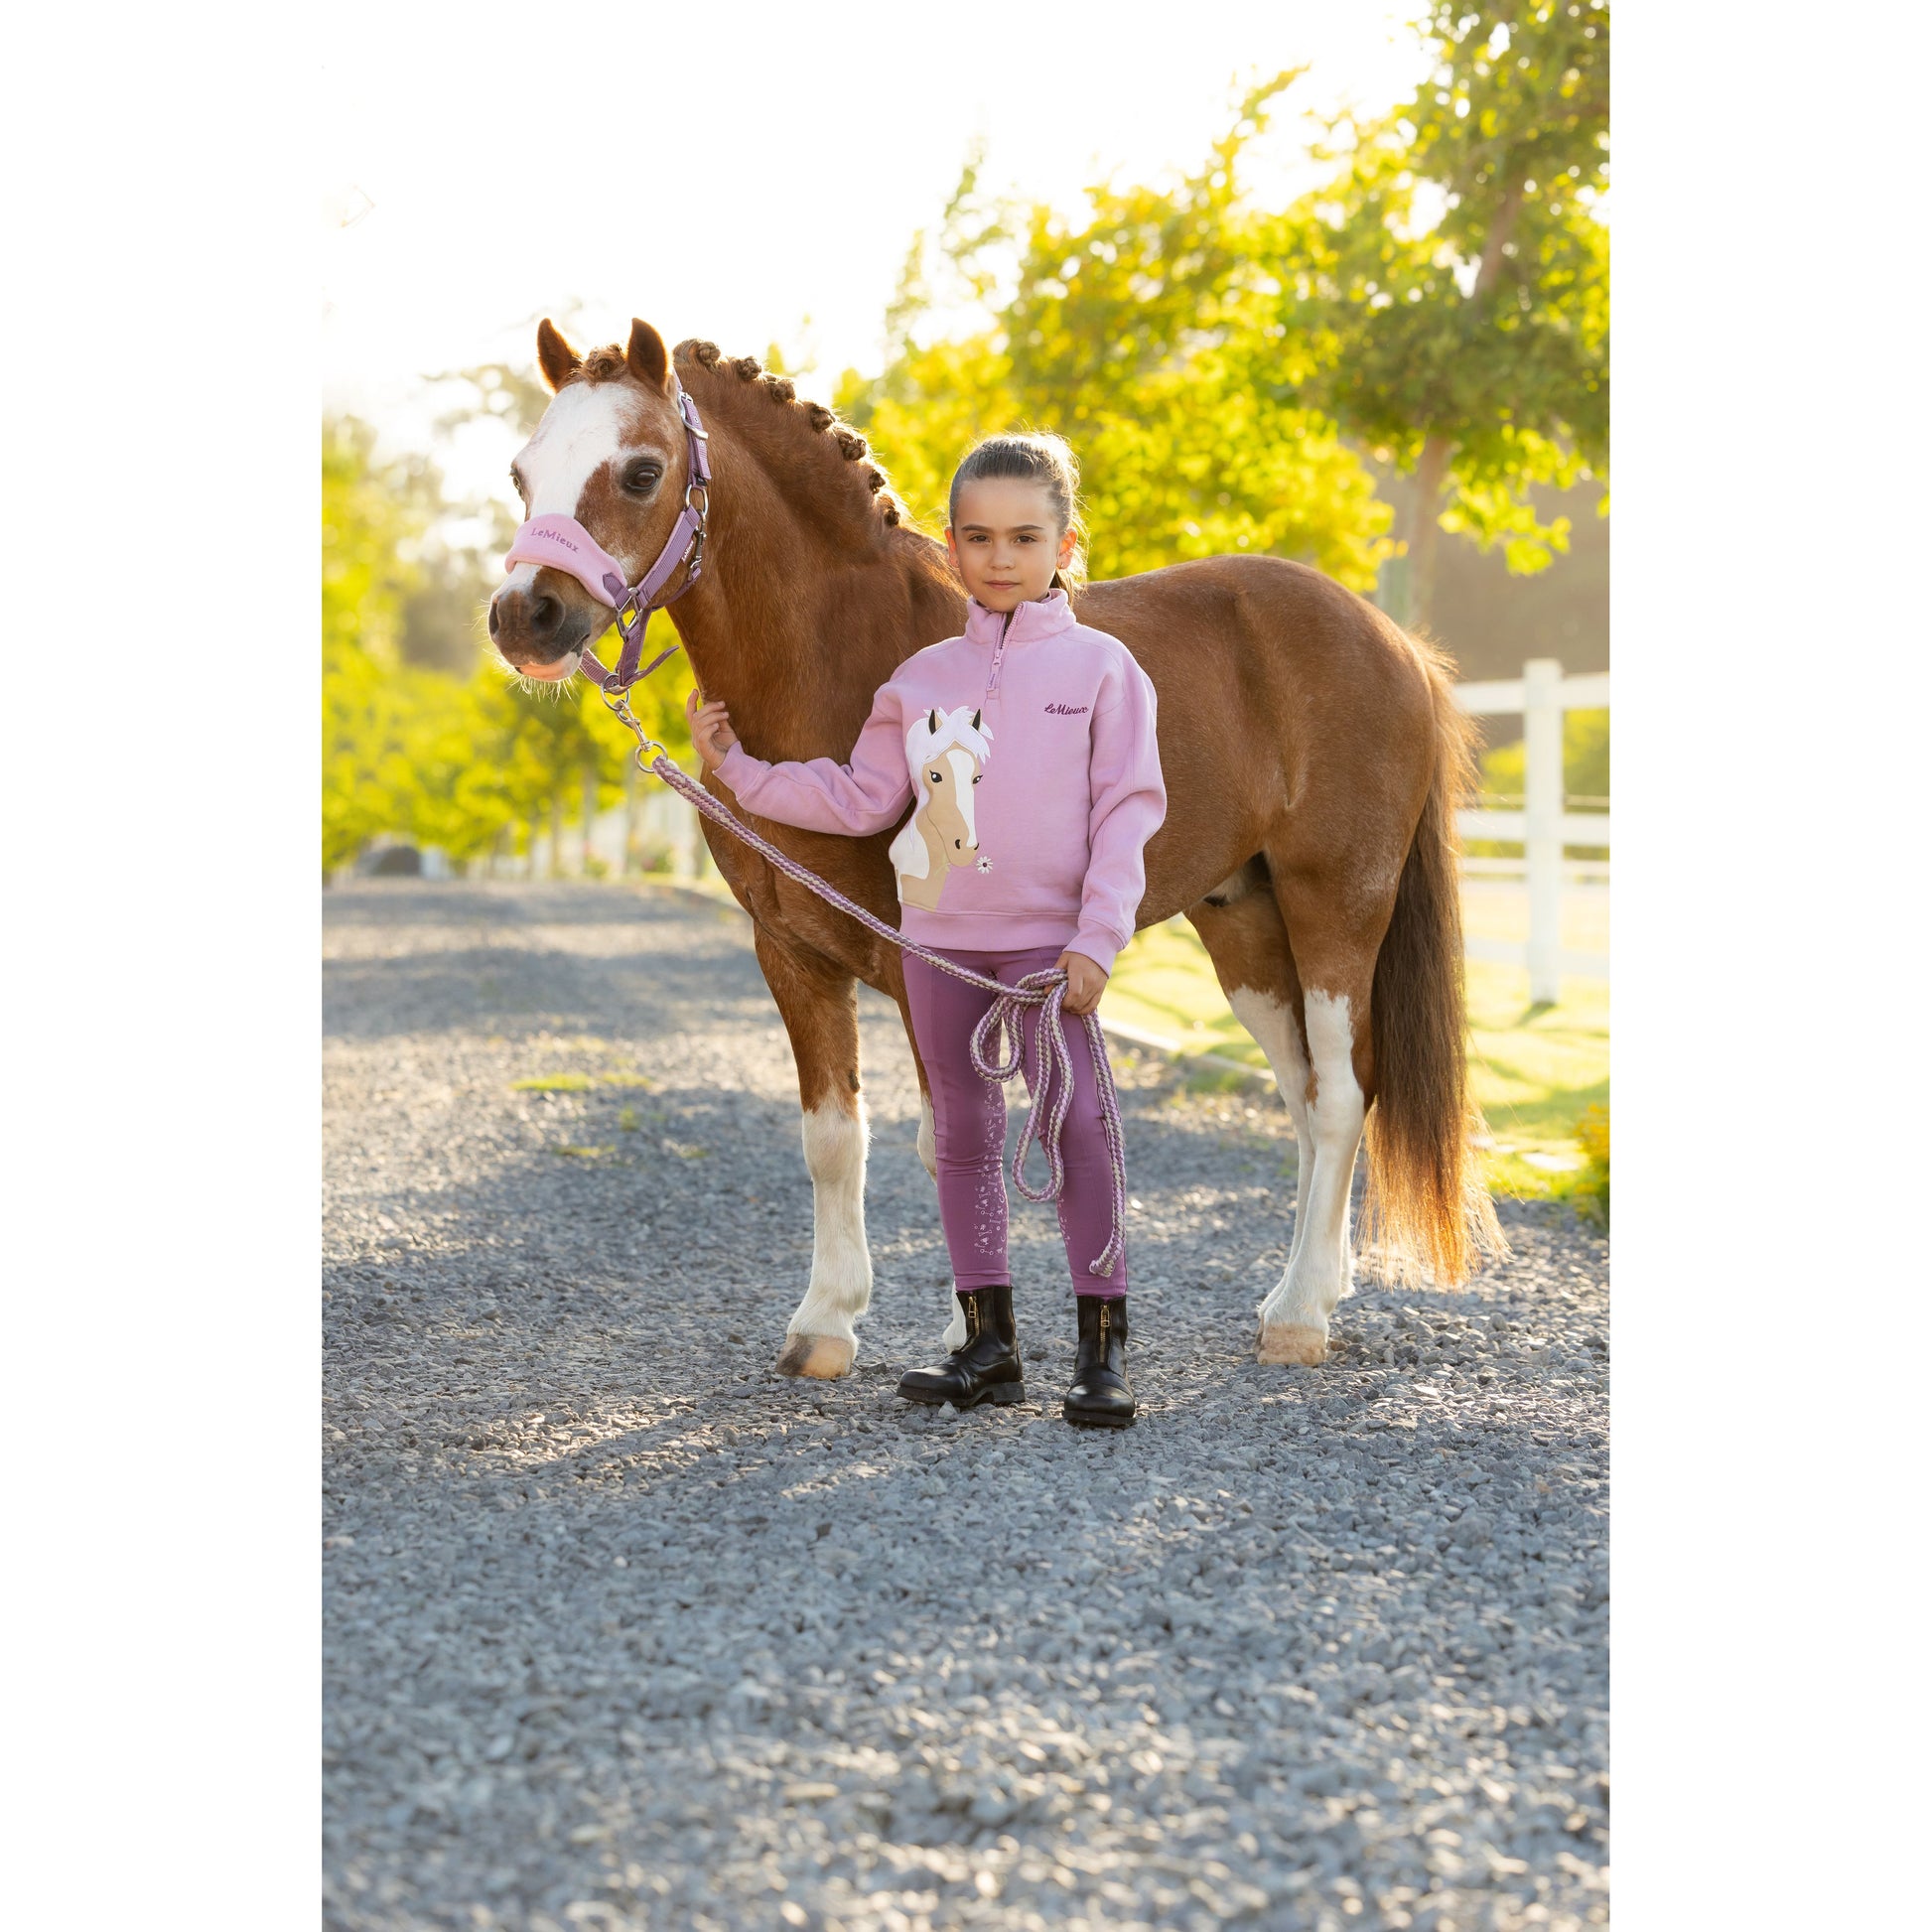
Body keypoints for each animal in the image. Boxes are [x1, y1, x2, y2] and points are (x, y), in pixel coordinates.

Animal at [489, 317, 1503, 1380]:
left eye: (642, 472)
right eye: (522, 473)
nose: (524, 618)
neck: (834, 654)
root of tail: (1394, 641)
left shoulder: (922, 961)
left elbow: (949, 1137)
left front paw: (960, 1330)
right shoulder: (792, 952)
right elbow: (832, 1140)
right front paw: (824, 1325)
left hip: (1336, 905)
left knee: (1344, 1095)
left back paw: (1302, 1315)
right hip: (1246, 928)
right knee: (1307, 1095)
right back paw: (1309, 1288)